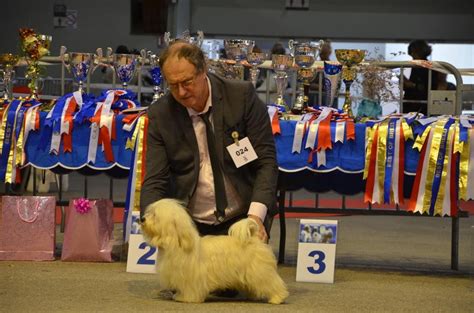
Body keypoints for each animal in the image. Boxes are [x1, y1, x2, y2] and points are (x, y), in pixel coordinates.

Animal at [141, 197, 288, 302]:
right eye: (149, 212)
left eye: (155, 215)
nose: (142, 219)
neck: (176, 242)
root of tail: (253, 238)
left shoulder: (191, 277)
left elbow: (190, 289)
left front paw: (185, 298)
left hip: (260, 272)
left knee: (273, 283)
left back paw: (277, 298)